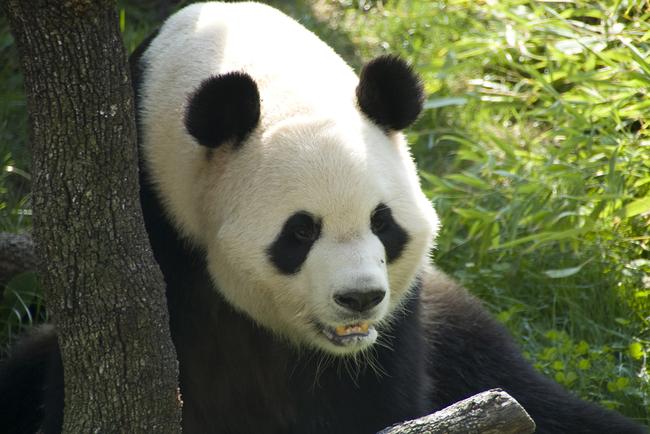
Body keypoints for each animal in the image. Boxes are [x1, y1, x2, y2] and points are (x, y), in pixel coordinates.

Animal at [0, 2, 647, 434]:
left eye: (383, 224)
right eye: (300, 231)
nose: (359, 298)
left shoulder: (397, 325)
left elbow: (371, 398)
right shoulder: (157, 230)